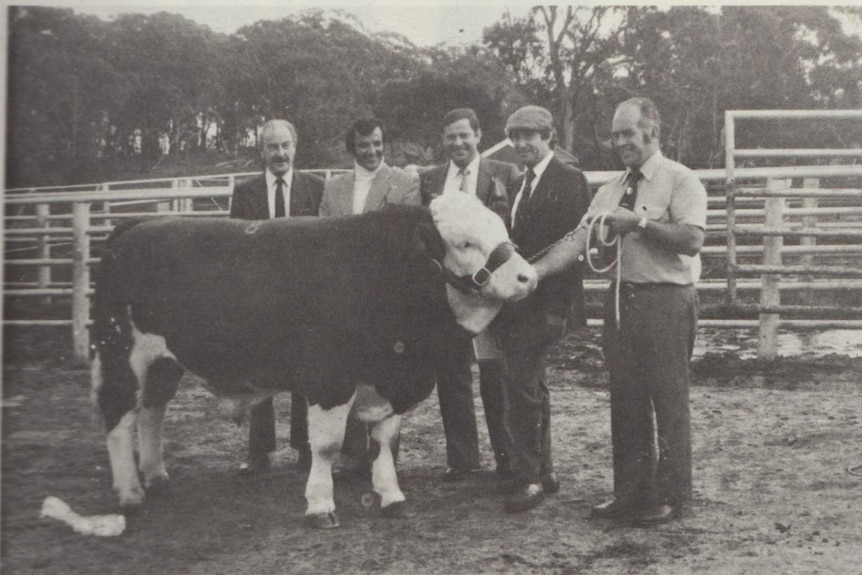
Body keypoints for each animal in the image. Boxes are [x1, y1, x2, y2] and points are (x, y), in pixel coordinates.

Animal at [91, 191, 536, 528]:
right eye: (464, 243)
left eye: (503, 230)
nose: (527, 277)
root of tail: (138, 225)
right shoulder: (330, 380)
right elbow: (326, 445)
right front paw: (321, 505)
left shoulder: (391, 380)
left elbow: (385, 440)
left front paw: (391, 495)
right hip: (121, 354)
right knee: (119, 415)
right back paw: (131, 494)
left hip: (163, 363)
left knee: (152, 411)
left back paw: (156, 476)